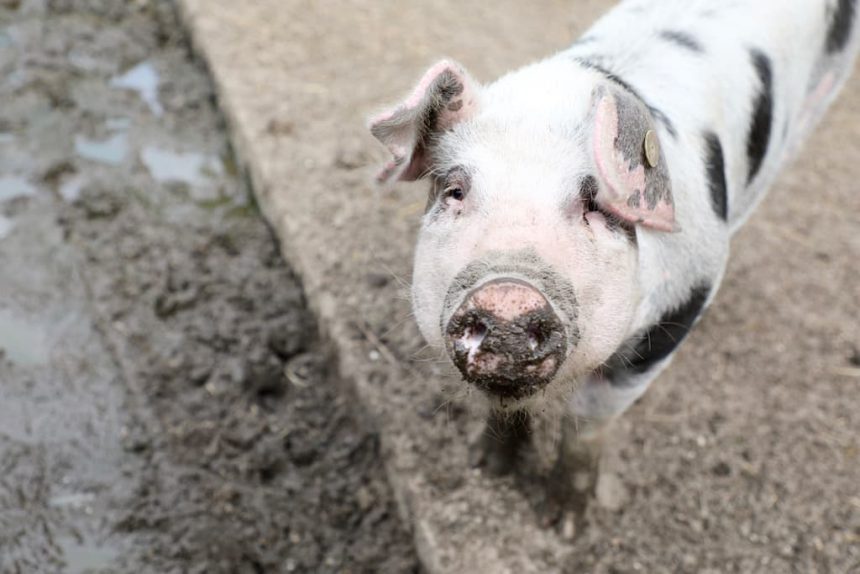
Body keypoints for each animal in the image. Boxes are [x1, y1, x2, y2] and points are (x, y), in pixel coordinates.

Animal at [366, 0, 856, 480]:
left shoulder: (671, 321)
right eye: (455, 191)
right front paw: (489, 469)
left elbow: (587, 423)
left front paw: (566, 507)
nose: (507, 300)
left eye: (596, 206)